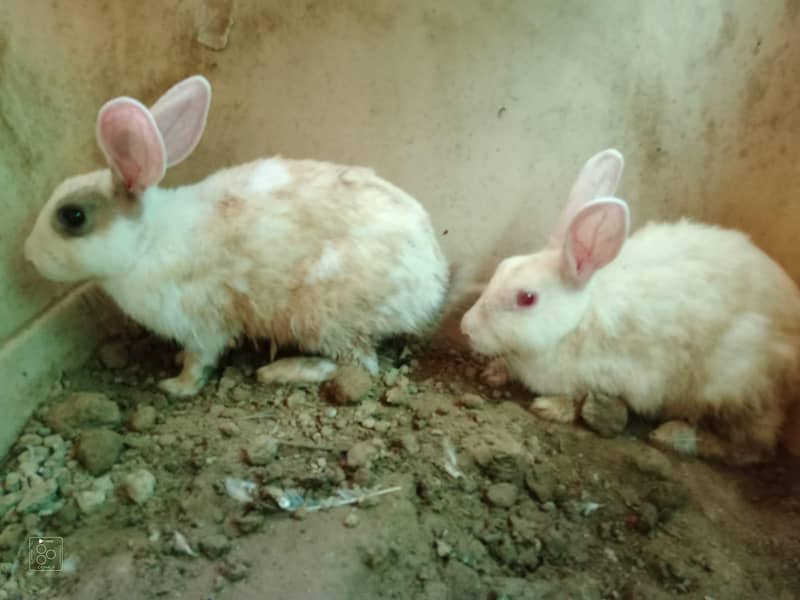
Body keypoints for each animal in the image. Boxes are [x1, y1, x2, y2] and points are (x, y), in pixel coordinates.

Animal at [24, 75, 452, 398]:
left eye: (73, 216)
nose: (28, 255)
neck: (148, 241)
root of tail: (431, 283)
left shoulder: (201, 322)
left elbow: (200, 358)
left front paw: (176, 385)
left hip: (322, 317)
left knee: (357, 364)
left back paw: (280, 371)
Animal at [460, 148, 800, 466]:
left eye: (527, 298)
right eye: (503, 266)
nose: (465, 328)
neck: (577, 320)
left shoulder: (620, 375)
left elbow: (583, 395)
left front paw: (551, 407)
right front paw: (493, 373)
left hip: (736, 386)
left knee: (754, 448)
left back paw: (676, 436)